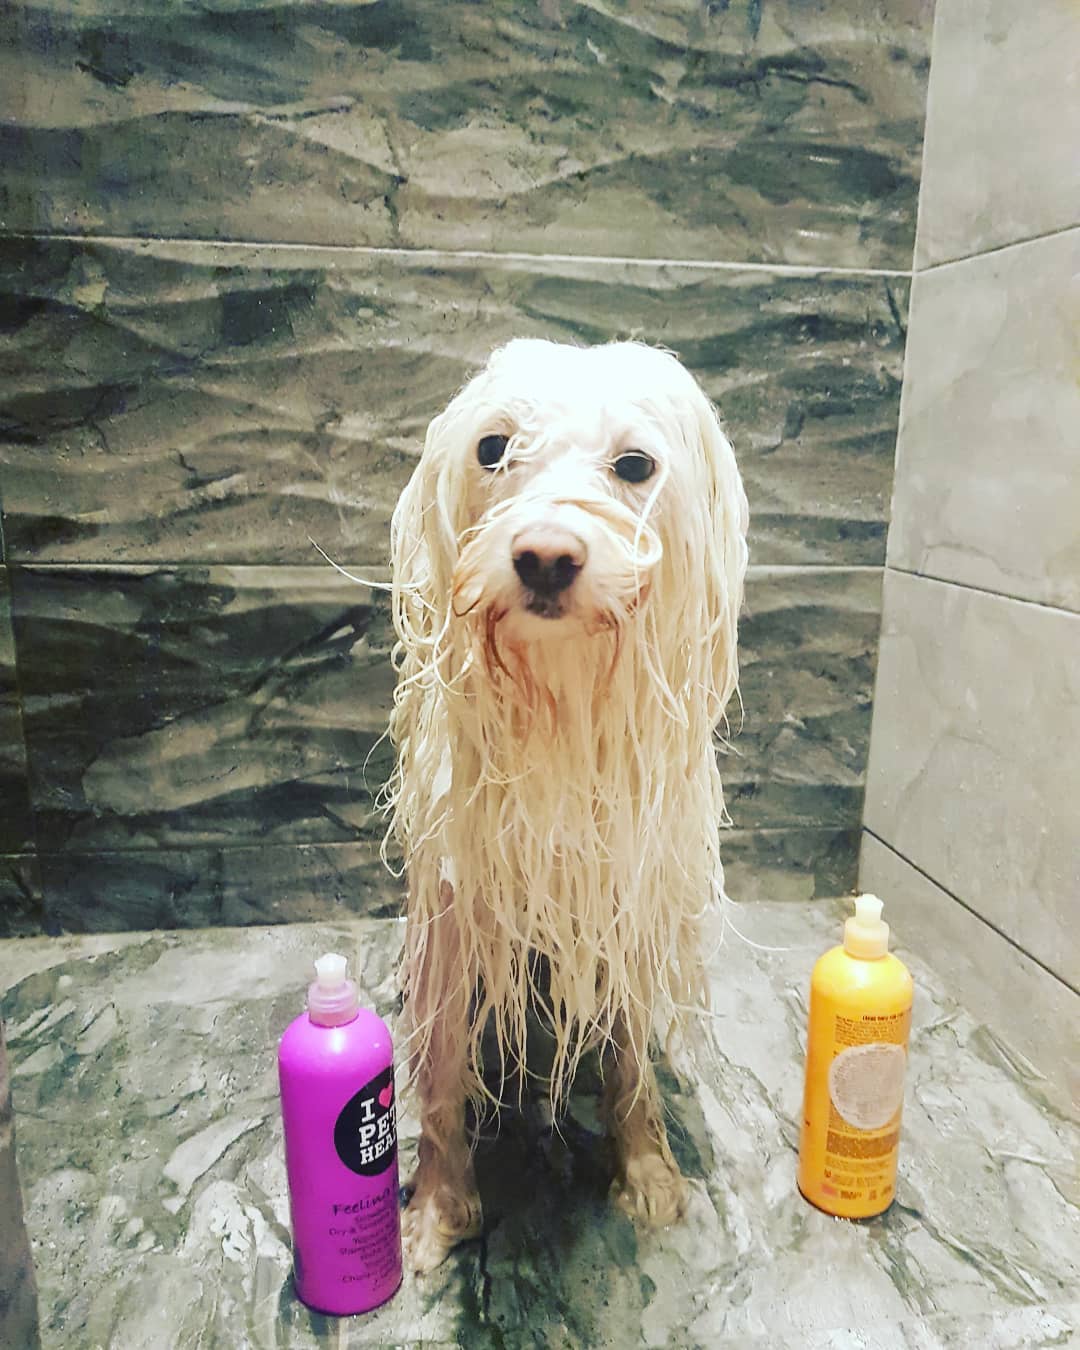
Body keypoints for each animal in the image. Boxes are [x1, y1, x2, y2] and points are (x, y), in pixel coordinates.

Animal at [388, 342, 750, 1269]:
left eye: (635, 466)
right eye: (492, 448)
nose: (546, 555)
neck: (559, 701)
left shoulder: (625, 893)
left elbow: (629, 1060)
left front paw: (646, 1167)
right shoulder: (456, 904)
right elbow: (442, 1068)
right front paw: (438, 1204)